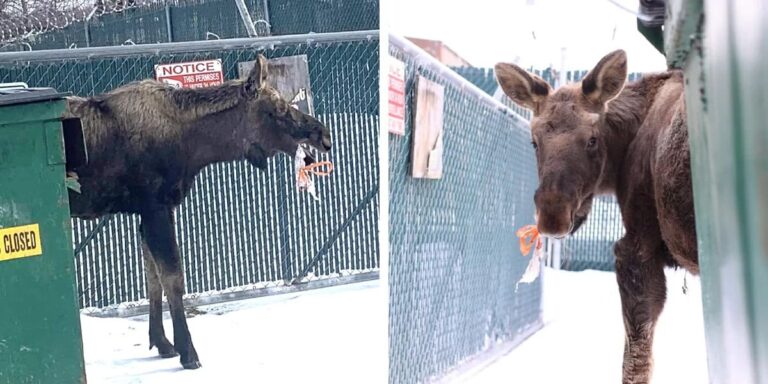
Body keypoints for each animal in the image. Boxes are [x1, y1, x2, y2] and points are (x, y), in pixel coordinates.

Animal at [64, 54, 332, 368]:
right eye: (277, 109)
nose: (324, 135)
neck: (195, 147)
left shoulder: (151, 211)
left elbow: (153, 279)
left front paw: (162, 342)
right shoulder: (155, 206)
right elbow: (173, 279)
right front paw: (188, 351)